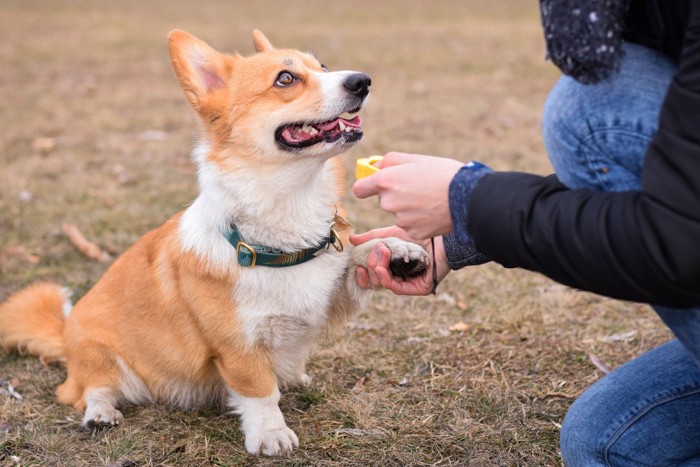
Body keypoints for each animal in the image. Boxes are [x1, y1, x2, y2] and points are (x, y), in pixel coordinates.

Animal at [0, 30, 426, 458]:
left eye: (322, 66)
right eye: (286, 79)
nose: (362, 81)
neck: (290, 211)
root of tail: (64, 332)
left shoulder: (326, 297)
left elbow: (356, 255)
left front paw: (396, 250)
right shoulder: (238, 347)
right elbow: (259, 392)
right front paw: (270, 433)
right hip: (100, 355)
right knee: (89, 389)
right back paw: (100, 413)